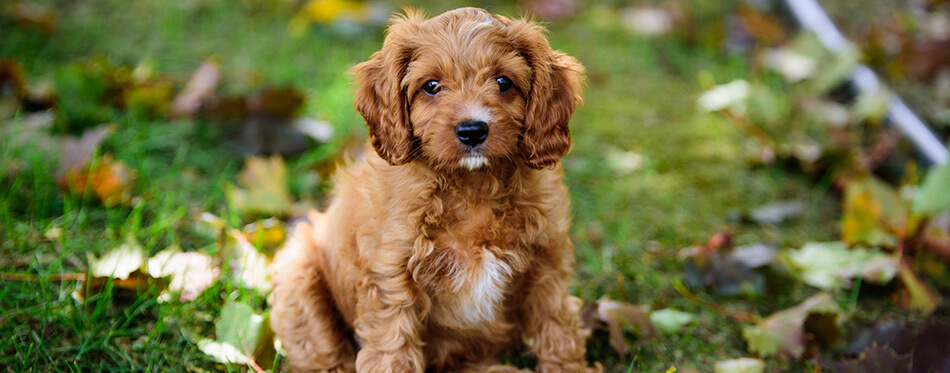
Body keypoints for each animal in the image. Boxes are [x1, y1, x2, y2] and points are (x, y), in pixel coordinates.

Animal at [270, 6, 596, 372]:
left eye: (503, 82)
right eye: (432, 86)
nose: (472, 130)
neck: (473, 185)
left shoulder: (547, 264)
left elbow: (557, 330)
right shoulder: (391, 275)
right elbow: (393, 349)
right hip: (299, 275)